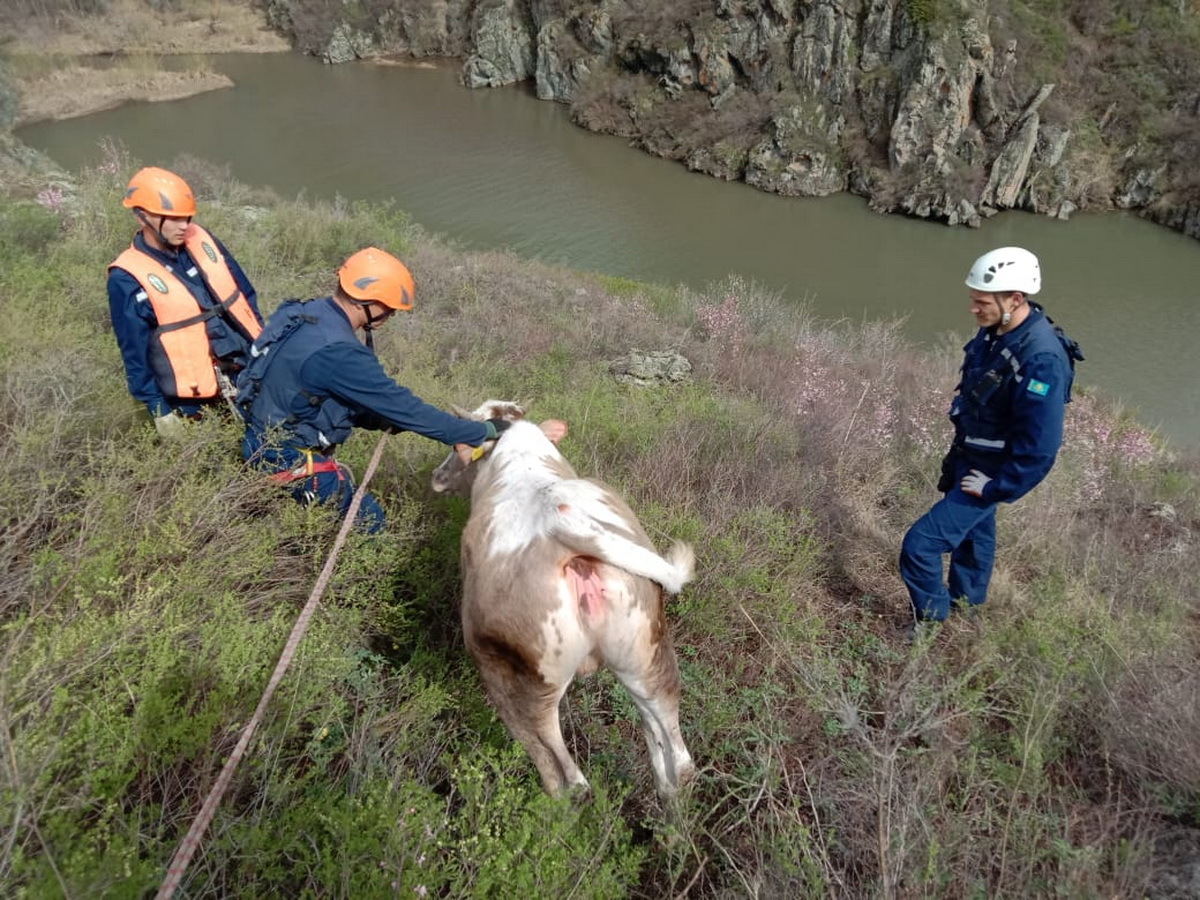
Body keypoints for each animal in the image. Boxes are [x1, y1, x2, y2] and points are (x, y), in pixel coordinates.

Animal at [429, 405, 696, 801]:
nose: (437, 476)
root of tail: (567, 528)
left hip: (514, 675)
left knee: (559, 768)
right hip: (645, 650)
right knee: (673, 748)